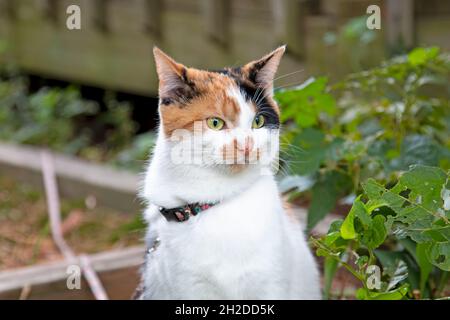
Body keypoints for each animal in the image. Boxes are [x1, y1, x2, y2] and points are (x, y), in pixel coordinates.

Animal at [137, 46, 320, 298]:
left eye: (258, 121)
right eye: (215, 123)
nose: (247, 145)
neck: (218, 200)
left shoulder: (272, 283)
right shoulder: (190, 286)